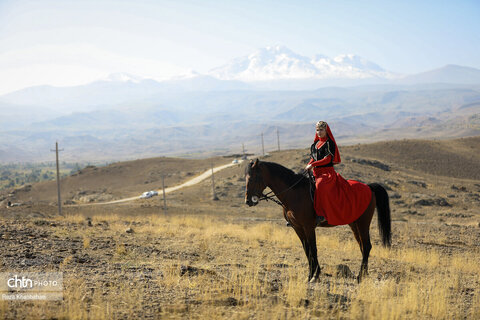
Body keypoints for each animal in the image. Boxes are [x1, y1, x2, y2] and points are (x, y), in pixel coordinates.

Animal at [244, 159, 390, 282]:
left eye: (253, 178)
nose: (248, 201)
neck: (294, 193)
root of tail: (369, 187)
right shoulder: (297, 227)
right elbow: (306, 249)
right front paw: (311, 275)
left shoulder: (308, 226)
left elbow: (313, 249)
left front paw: (315, 275)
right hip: (354, 224)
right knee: (362, 246)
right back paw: (364, 274)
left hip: (363, 223)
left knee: (367, 246)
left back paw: (360, 276)